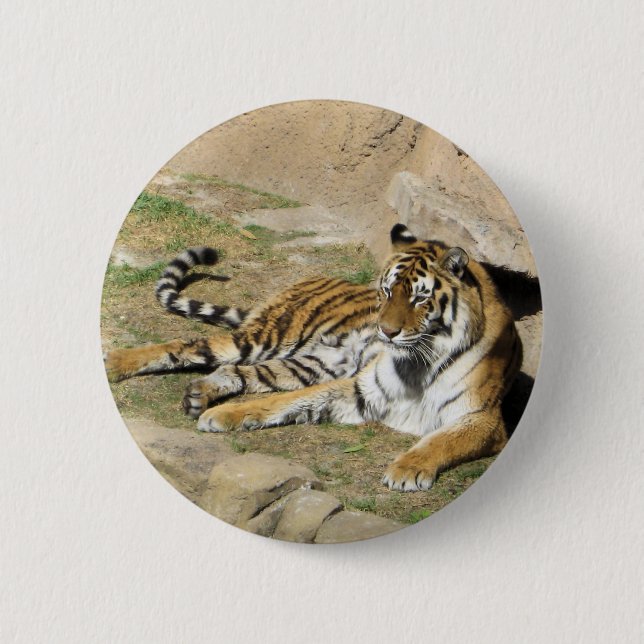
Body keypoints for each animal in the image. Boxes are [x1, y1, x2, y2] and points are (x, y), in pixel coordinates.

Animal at [105, 223, 522, 491]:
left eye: (420, 298)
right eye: (387, 291)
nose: (385, 331)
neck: (421, 359)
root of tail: (309, 279)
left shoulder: (481, 417)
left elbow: (440, 441)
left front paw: (406, 470)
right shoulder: (364, 387)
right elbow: (285, 402)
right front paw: (226, 415)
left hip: (307, 362)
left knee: (234, 369)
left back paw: (198, 395)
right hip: (269, 337)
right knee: (184, 345)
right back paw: (115, 364)